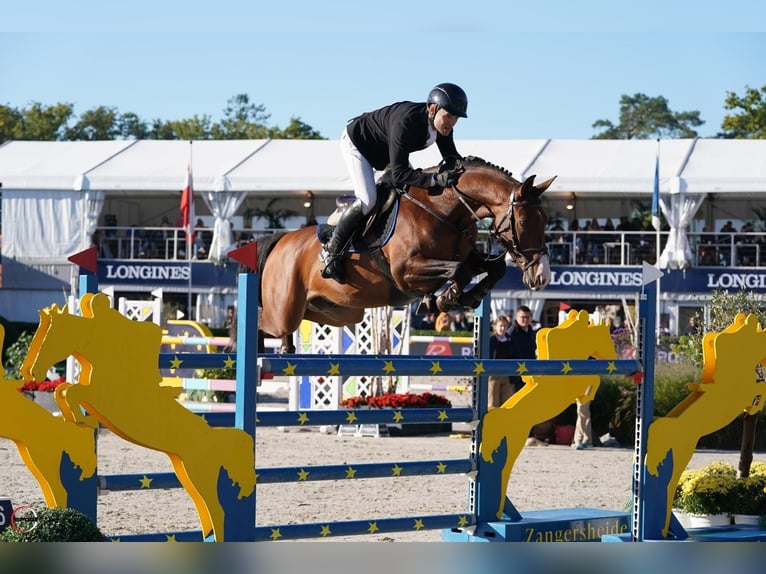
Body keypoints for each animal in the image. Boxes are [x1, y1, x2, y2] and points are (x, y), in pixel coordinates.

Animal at [21, 294, 256, 541]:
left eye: (48, 338)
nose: (31, 373)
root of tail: (215, 438)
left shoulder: (99, 396)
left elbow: (70, 391)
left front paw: (84, 420)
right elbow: (63, 390)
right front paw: (77, 419)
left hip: (200, 472)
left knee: (217, 510)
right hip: (185, 468)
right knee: (209, 510)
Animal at [256, 156, 554, 351]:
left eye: (545, 220)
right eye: (524, 222)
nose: (542, 275)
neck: (443, 210)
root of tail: (282, 240)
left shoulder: (465, 255)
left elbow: (493, 268)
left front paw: (465, 297)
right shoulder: (405, 272)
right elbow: (459, 271)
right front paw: (443, 299)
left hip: (335, 312)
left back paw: (286, 350)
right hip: (282, 313)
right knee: (262, 323)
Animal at [478, 310, 617, 520]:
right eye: (607, 339)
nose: (615, 358)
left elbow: (593, 379)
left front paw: (586, 395)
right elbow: (593, 379)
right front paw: (586, 395)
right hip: (517, 439)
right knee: (505, 469)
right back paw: (500, 509)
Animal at [645, 313, 766, 537]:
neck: (739, 358)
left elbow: (760, 388)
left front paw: (752, 409)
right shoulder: (744, 391)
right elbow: (761, 387)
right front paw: (753, 408)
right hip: (684, 451)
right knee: (670, 485)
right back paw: (664, 529)